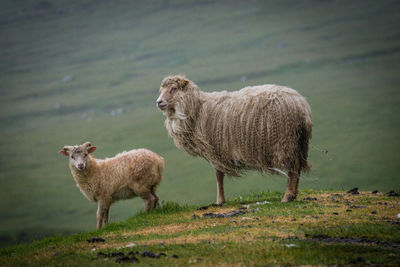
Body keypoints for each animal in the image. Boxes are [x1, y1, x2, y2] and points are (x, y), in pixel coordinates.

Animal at [156, 75, 312, 205]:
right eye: (162, 90)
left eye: (173, 89)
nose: (158, 102)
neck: (198, 110)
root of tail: (301, 104)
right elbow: (219, 175)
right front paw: (221, 200)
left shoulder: (215, 149)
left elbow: (218, 175)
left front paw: (219, 201)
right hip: (298, 142)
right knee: (297, 168)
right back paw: (293, 195)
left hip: (286, 141)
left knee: (293, 169)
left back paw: (287, 196)